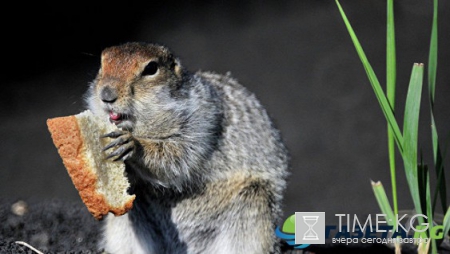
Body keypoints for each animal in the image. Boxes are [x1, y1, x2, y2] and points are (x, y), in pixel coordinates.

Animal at [85, 42, 288, 254]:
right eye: (102, 63)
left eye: (151, 69)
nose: (106, 95)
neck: (147, 126)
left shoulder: (202, 120)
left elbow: (176, 157)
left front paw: (133, 145)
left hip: (255, 204)